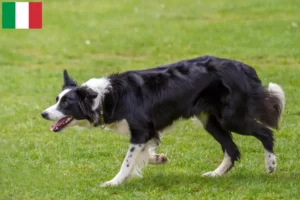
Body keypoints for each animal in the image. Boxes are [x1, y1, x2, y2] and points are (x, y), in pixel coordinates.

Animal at [41, 55, 284, 187]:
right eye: (56, 100)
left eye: (66, 103)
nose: (43, 114)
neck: (104, 97)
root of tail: (243, 67)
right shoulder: (149, 133)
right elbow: (143, 154)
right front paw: (158, 159)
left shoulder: (140, 131)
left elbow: (127, 161)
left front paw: (113, 182)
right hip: (210, 121)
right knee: (232, 149)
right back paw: (215, 174)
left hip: (232, 118)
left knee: (265, 133)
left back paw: (270, 165)